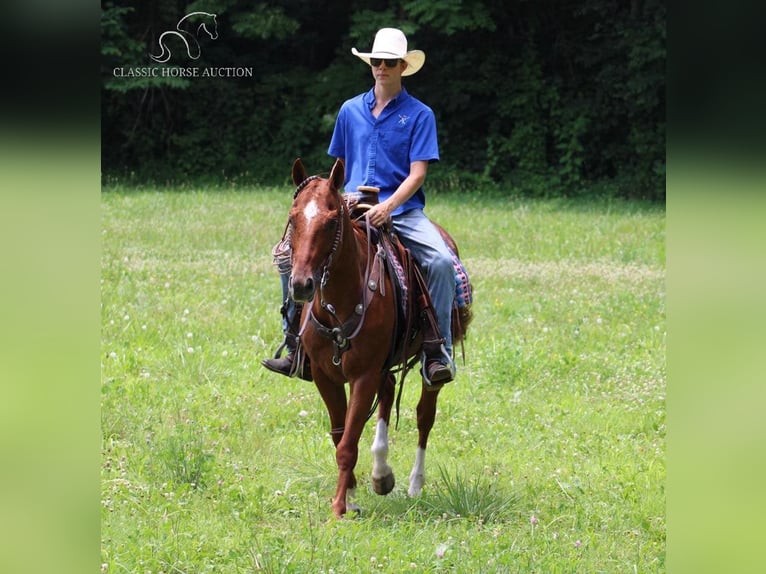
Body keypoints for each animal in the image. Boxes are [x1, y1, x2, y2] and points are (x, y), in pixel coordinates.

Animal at [284, 158, 472, 516]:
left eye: (331, 221)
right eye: (293, 217)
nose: (301, 285)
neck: (339, 304)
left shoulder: (363, 375)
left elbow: (347, 443)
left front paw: (339, 508)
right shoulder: (325, 376)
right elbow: (340, 434)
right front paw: (352, 494)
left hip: (429, 365)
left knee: (424, 415)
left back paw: (415, 483)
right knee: (387, 394)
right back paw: (381, 473)